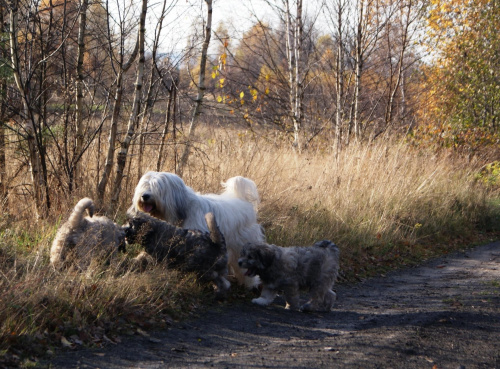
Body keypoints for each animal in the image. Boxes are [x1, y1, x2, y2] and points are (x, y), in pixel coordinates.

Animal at [129, 171, 266, 286]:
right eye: (144, 185)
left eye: (157, 187)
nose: (145, 196)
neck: (183, 211)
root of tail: (243, 200)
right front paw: (139, 259)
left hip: (240, 243)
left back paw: (250, 283)